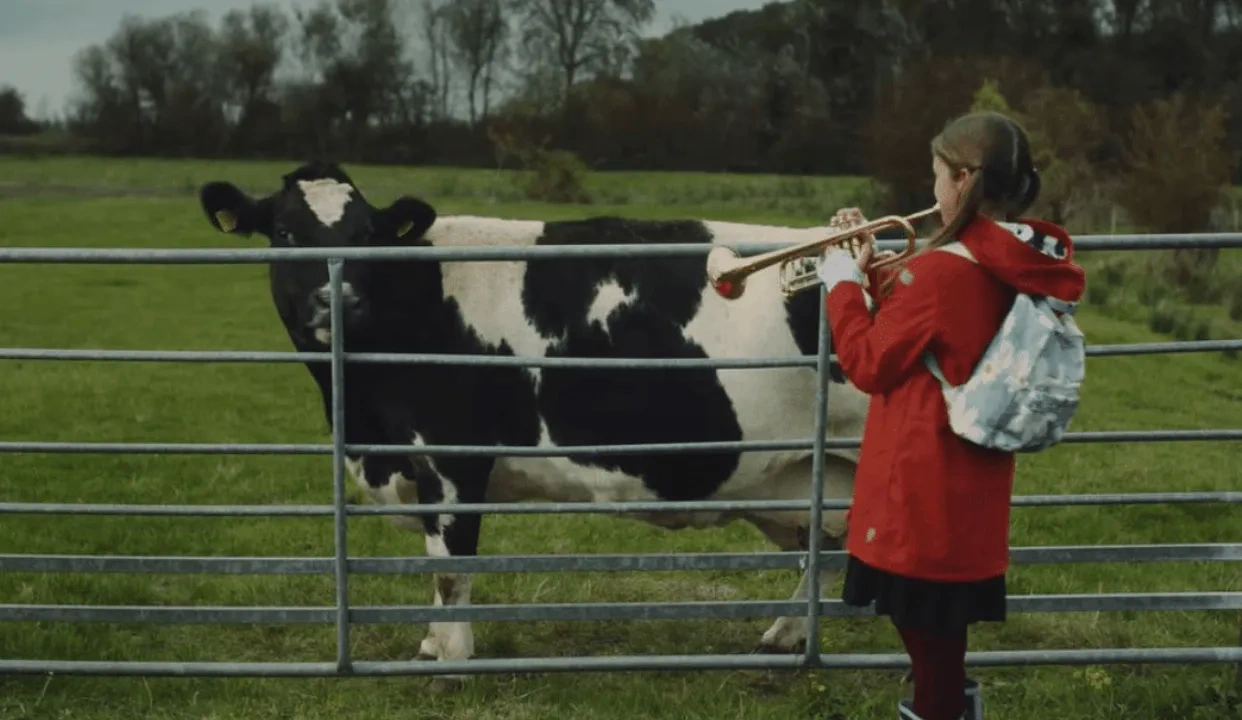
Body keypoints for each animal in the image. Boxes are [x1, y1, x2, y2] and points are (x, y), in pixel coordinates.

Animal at [198, 162, 869, 680]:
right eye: (286, 231)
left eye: (365, 235)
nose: (338, 300)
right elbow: (435, 563)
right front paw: (429, 646)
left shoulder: (454, 455)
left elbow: (452, 565)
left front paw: (451, 662)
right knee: (825, 552)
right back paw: (783, 638)